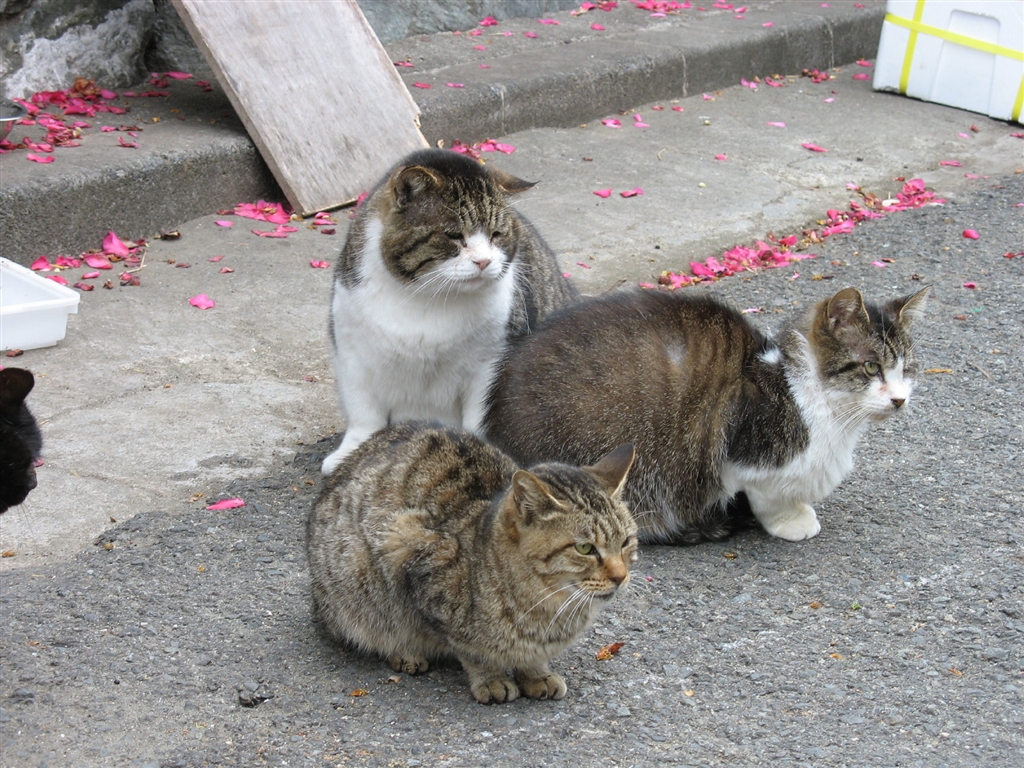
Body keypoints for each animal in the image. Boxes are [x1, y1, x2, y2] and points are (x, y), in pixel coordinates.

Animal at [307, 423, 634, 708]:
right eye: (585, 548)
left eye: (626, 542)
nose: (621, 576)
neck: (548, 607)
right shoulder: (409, 553)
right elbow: (470, 648)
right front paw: (491, 678)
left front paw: (535, 672)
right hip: (354, 576)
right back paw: (405, 652)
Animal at [485, 286, 929, 544]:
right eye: (871, 367)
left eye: (906, 368)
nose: (899, 399)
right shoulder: (743, 452)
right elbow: (767, 496)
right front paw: (790, 520)